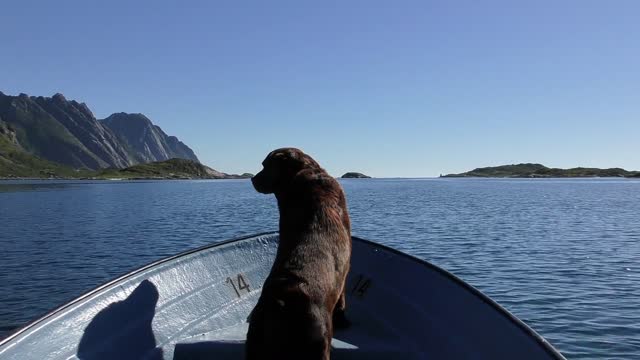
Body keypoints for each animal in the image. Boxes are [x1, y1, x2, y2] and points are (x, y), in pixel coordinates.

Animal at [248, 148, 352, 360]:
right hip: (319, 344)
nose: (252, 179)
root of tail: (280, 302)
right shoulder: (345, 273)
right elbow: (343, 300)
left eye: (265, 165)